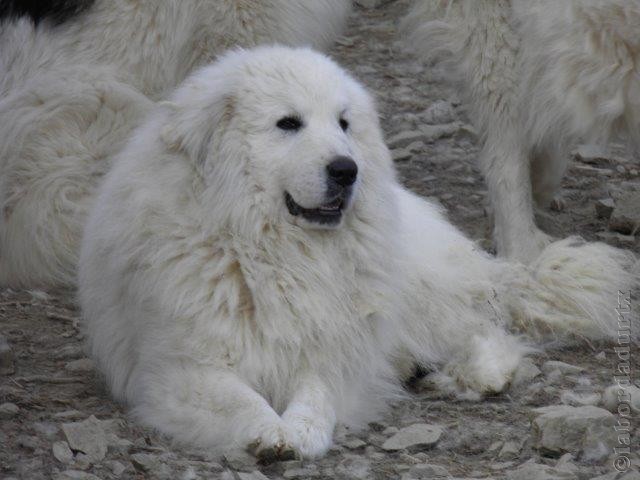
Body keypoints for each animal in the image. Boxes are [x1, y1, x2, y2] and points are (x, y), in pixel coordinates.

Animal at [79, 46, 636, 462]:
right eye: (288, 123)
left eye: (344, 123)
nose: (347, 170)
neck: (270, 249)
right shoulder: (184, 369)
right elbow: (239, 398)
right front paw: (268, 431)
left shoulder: (327, 350)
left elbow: (317, 396)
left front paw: (302, 432)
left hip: (421, 296)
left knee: (488, 333)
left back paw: (469, 377)